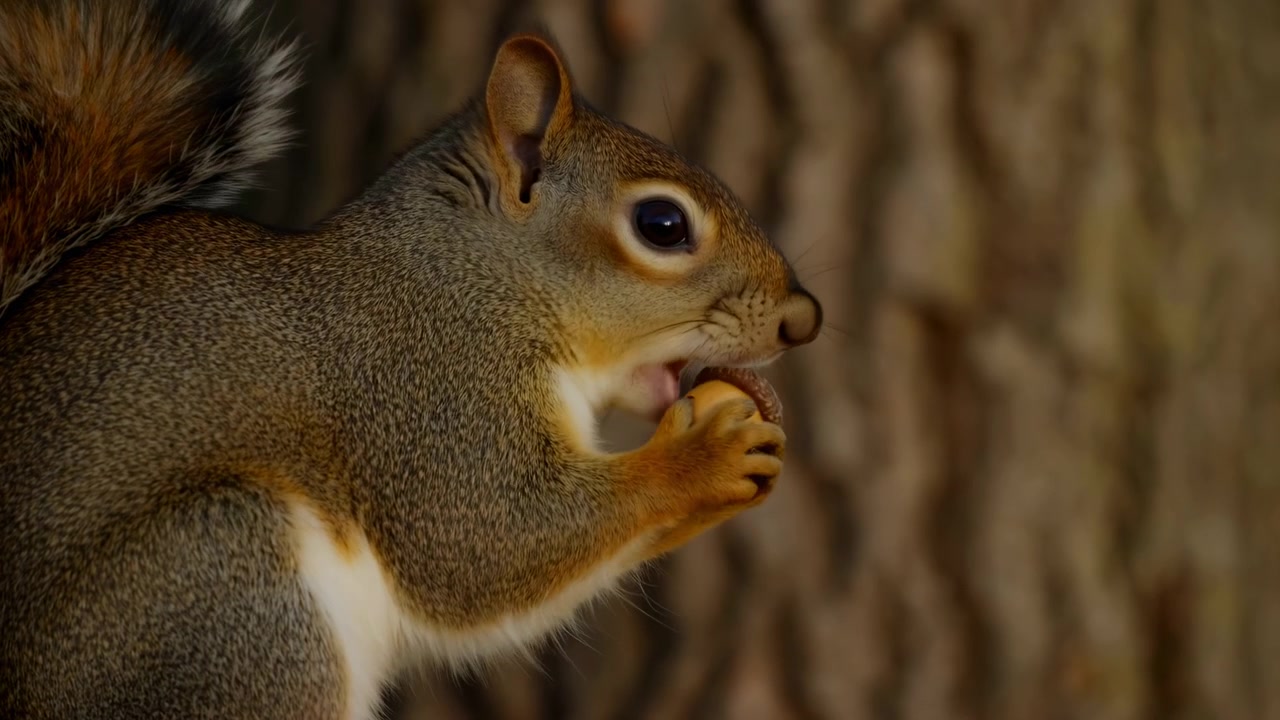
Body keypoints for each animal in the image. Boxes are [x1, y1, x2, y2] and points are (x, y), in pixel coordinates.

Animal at [0, 1, 823, 719]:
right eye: (661, 224)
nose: (803, 319)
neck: (480, 276)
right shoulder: (432, 390)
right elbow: (490, 542)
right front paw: (705, 457)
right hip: (223, 594)